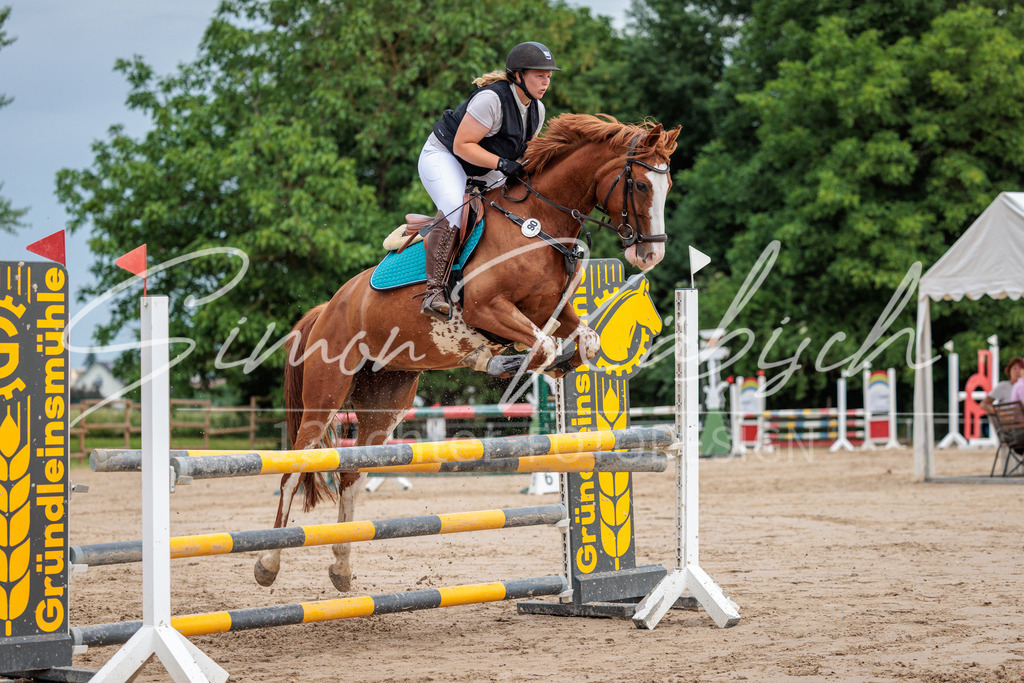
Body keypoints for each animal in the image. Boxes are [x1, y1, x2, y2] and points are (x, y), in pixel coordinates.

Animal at [254, 113, 681, 591]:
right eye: (641, 184)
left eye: (667, 184)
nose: (650, 253)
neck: (537, 225)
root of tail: (329, 306)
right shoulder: (489, 308)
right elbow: (543, 345)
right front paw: (507, 360)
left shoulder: (549, 310)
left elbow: (583, 342)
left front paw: (544, 362)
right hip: (325, 395)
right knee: (294, 470)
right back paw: (267, 564)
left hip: (386, 400)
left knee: (350, 472)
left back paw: (342, 568)